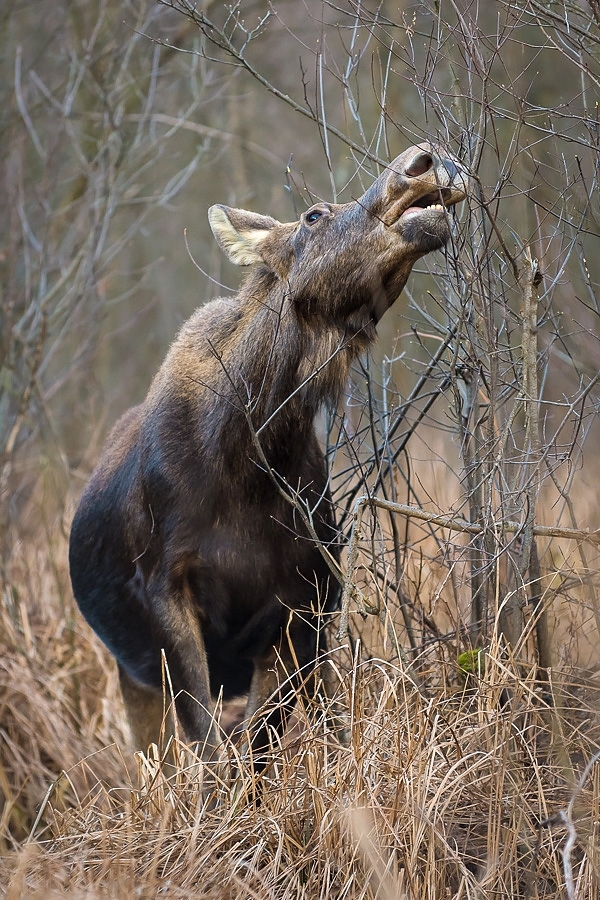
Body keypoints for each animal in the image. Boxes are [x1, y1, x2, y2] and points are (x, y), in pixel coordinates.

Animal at [69, 143, 468, 773]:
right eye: (313, 214)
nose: (422, 160)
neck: (245, 458)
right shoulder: (166, 589)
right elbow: (209, 750)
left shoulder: (302, 601)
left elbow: (271, 741)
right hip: (132, 672)